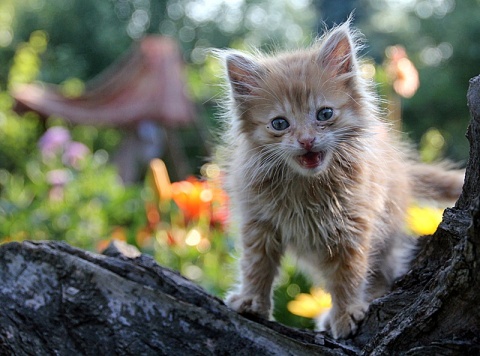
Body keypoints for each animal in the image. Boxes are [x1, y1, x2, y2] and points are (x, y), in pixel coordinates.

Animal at [218, 22, 464, 340]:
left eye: (324, 114)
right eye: (279, 123)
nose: (306, 140)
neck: (306, 185)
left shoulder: (352, 225)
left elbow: (347, 274)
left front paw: (346, 312)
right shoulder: (258, 223)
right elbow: (256, 265)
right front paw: (251, 300)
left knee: (383, 273)